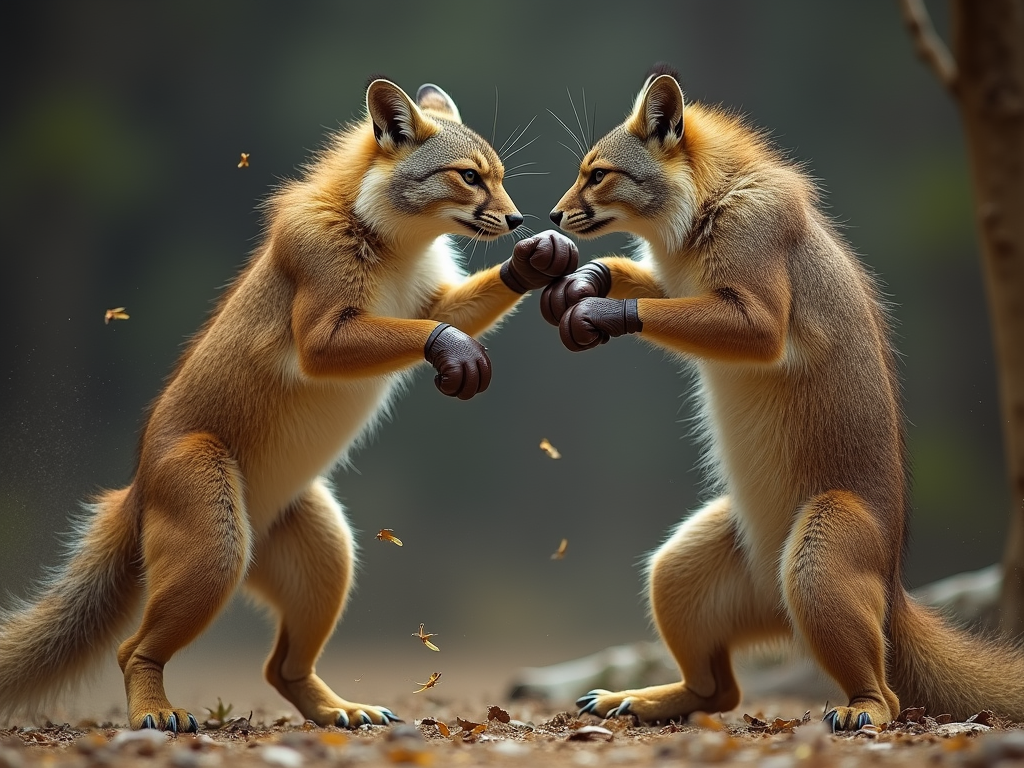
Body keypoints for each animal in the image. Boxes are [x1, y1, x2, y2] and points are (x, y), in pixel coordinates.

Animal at [0, 78, 577, 733]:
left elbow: (455, 311)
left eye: (499, 176)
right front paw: (456, 353)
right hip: (217, 559)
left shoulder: (432, 300)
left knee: (279, 669)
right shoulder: (323, 337)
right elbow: (433, 335)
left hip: (329, 560)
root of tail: (135, 491)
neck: (391, 247)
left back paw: (340, 711)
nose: (519, 218)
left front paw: (536, 260)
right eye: (469, 177)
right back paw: (157, 712)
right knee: (132, 650)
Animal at [540, 63, 1024, 729]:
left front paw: (596, 310)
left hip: (815, 563)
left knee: (889, 698)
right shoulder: (675, 286)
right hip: (675, 571)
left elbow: (644, 309)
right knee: (718, 691)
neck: (706, 212)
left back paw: (859, 711)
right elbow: (632, 282)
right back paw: (635, 698)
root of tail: (896, 594)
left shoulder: (755, 317)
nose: (553, 215)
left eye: (599, 173)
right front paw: (583, 282)